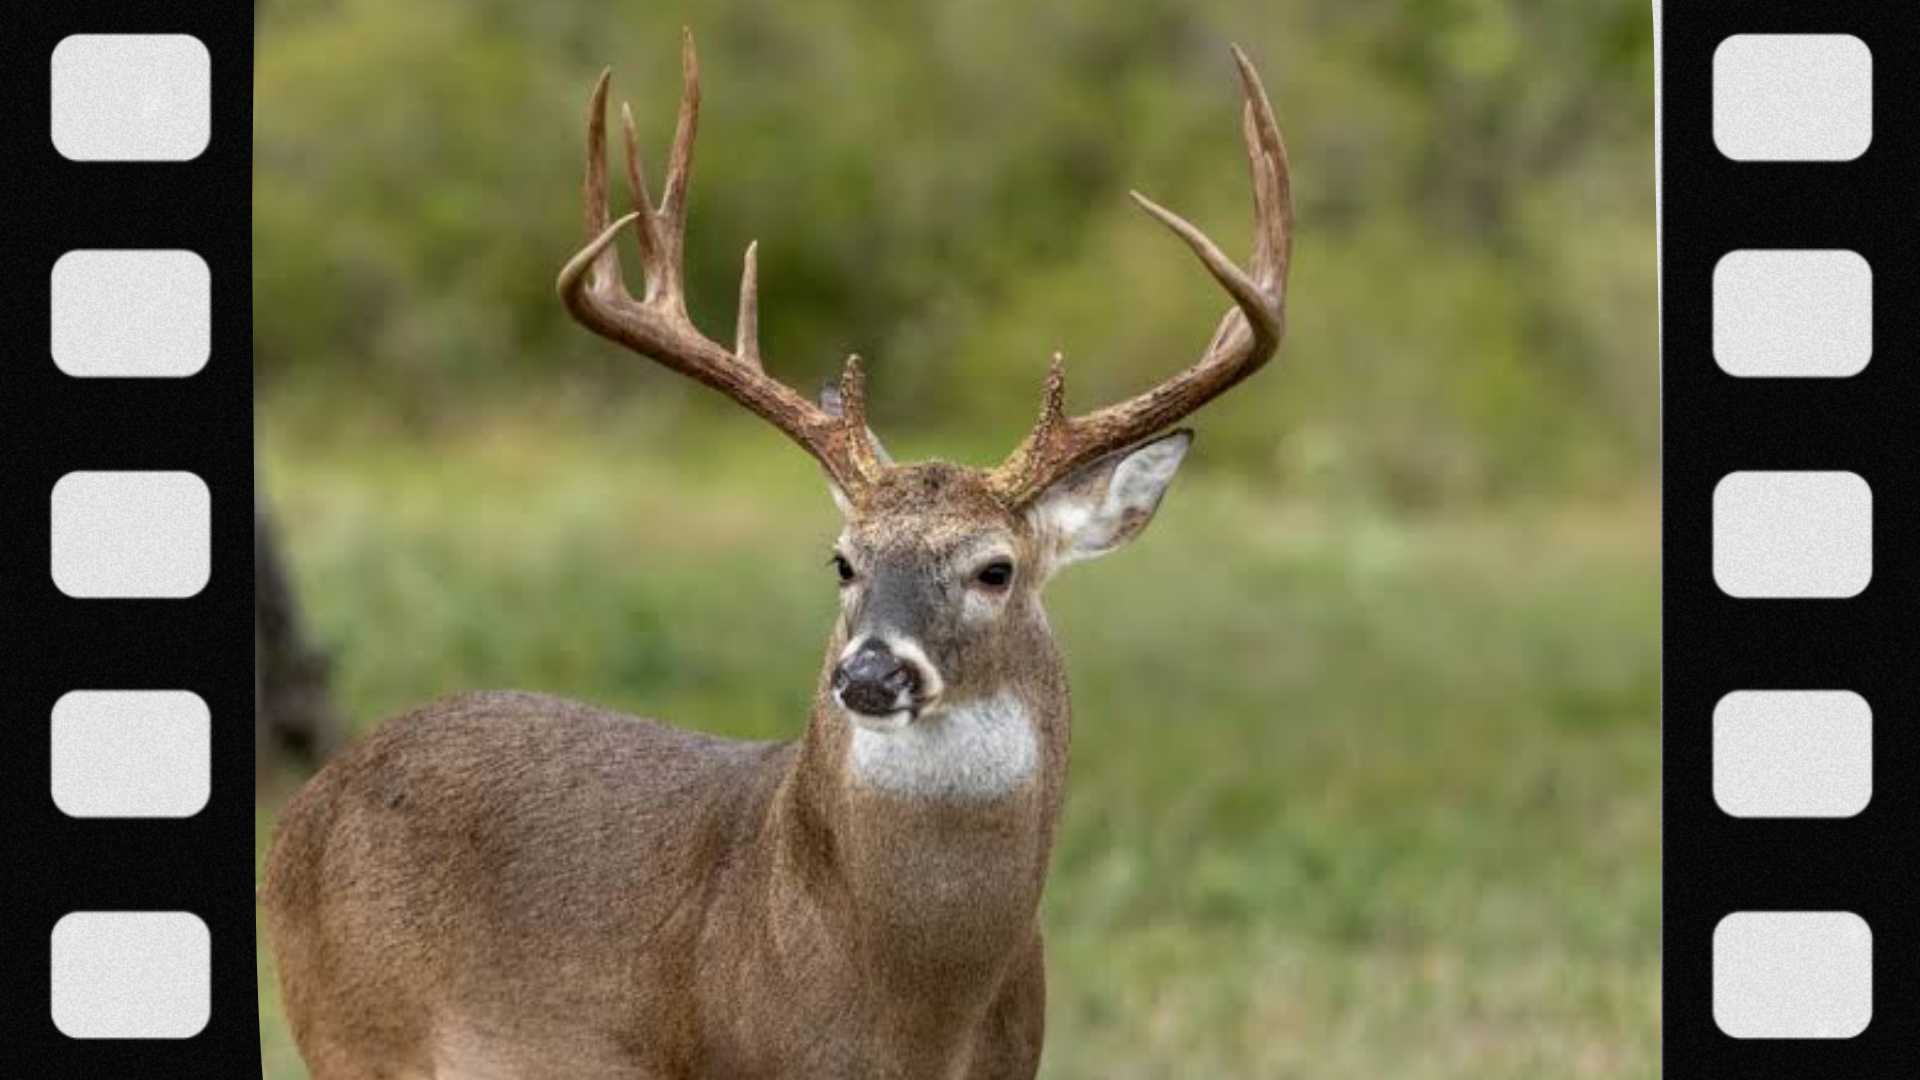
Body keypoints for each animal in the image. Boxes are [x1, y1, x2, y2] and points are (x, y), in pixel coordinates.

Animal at [262, 30, 1291, 1080]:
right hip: (351, 1033)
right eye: (843, 560)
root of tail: (308, 804)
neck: (911, 1014)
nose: (870, 673)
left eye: (995, 568)